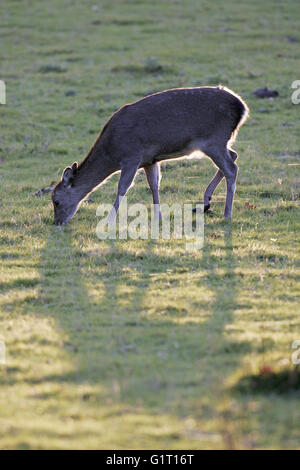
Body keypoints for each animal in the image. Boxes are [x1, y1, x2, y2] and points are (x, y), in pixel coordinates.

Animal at [52, 86, 248, 226]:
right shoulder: (150, 160)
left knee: (231, 168)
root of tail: (242, 108)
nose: (57, 223)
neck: (112, 152)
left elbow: (122, 187)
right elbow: (154, 184)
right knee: (234, 155)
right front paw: (158, 217)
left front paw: (109, 219)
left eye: (56, 201)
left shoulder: (132, 156)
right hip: (220, 142)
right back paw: (205, 202)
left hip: (214, 139)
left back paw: (227, 214)